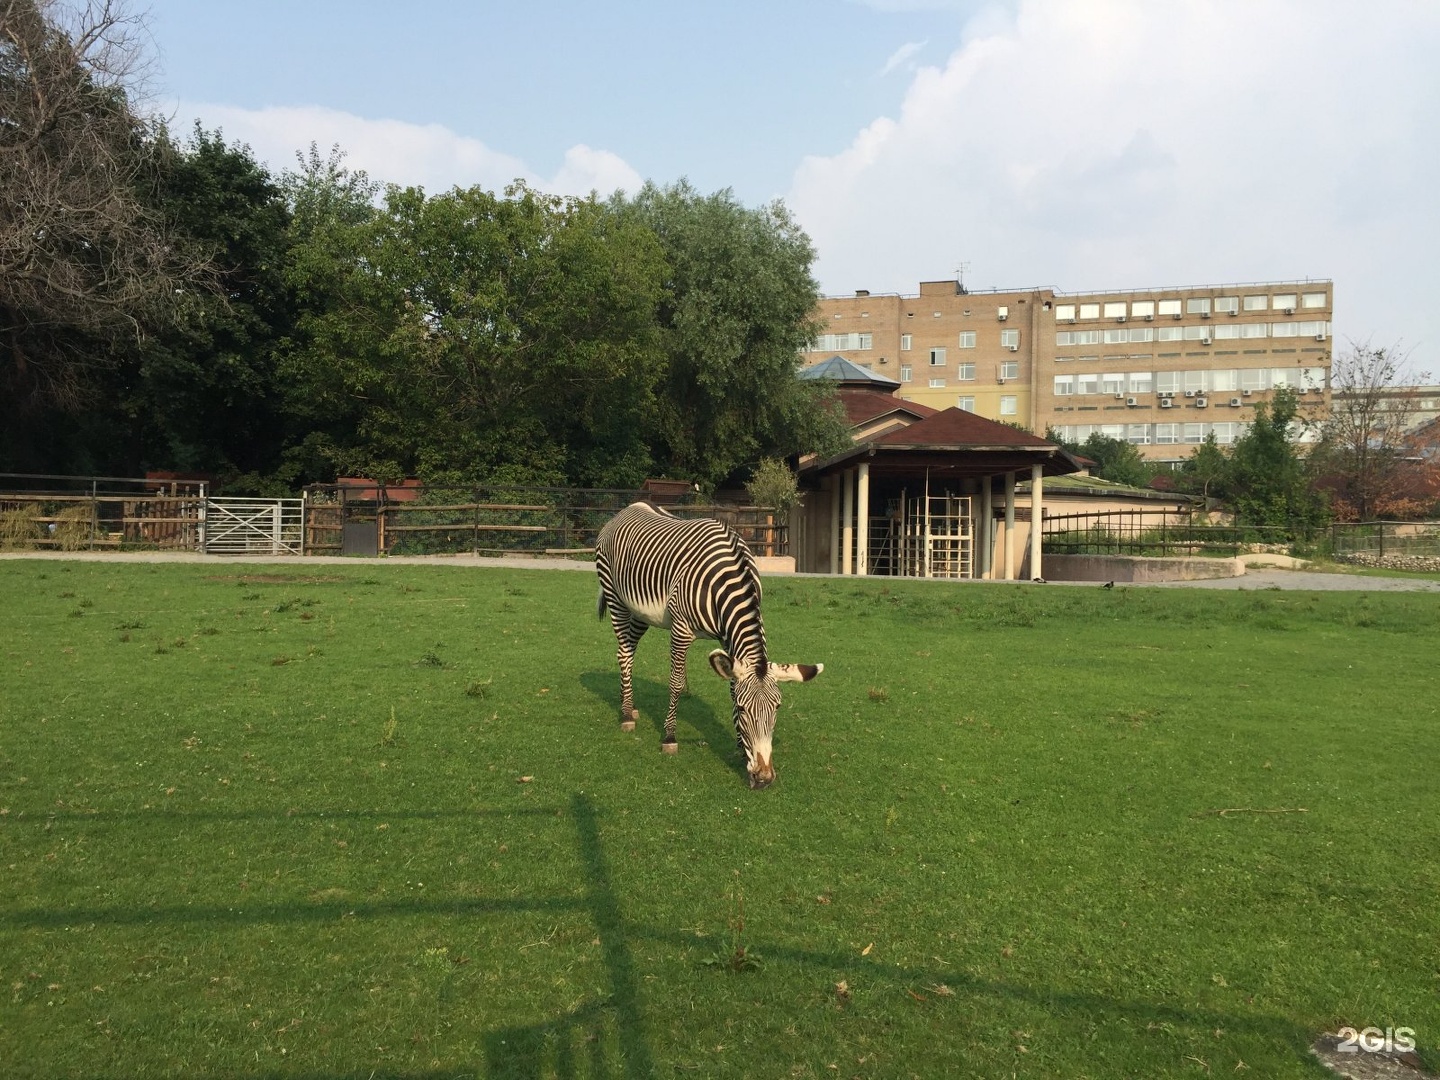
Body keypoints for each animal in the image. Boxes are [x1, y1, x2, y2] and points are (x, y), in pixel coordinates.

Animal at [596, 504, 823, 789]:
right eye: (743, 709)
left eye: (777, 708)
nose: (763, 778)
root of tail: (628, 509)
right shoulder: (681, 629)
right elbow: (676, 683)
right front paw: (669, 737)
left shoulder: (729, 638)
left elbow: (732, 687)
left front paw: (739, 747)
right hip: (616, 599)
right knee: (624, 653)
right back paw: (626, 714)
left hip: (640, 612)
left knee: (629, 650)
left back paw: (628, 703)